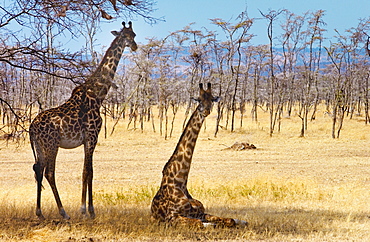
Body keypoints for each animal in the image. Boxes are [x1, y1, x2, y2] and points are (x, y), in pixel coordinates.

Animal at [29, 21, 137, 220]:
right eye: (126, 36)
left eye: (134, 35)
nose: (135, 46)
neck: (98, 95)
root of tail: (31, 128)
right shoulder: (92, 136)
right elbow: (89, 171)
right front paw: (88, 210)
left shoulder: (88, 139)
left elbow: (85, 172)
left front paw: (85, 209)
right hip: (52, 145)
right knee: (49, 172)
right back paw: (63, 212)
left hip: (40, 146)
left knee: (38, 170)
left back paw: (39, 212)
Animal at [150, 82, 249, 227]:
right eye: (200, 100)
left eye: (212, 99)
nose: (206, 111)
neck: (180, 181)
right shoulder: (171, 217)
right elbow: (201, 224)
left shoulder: (200, 212)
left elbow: (229, 220)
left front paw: (239, 221)